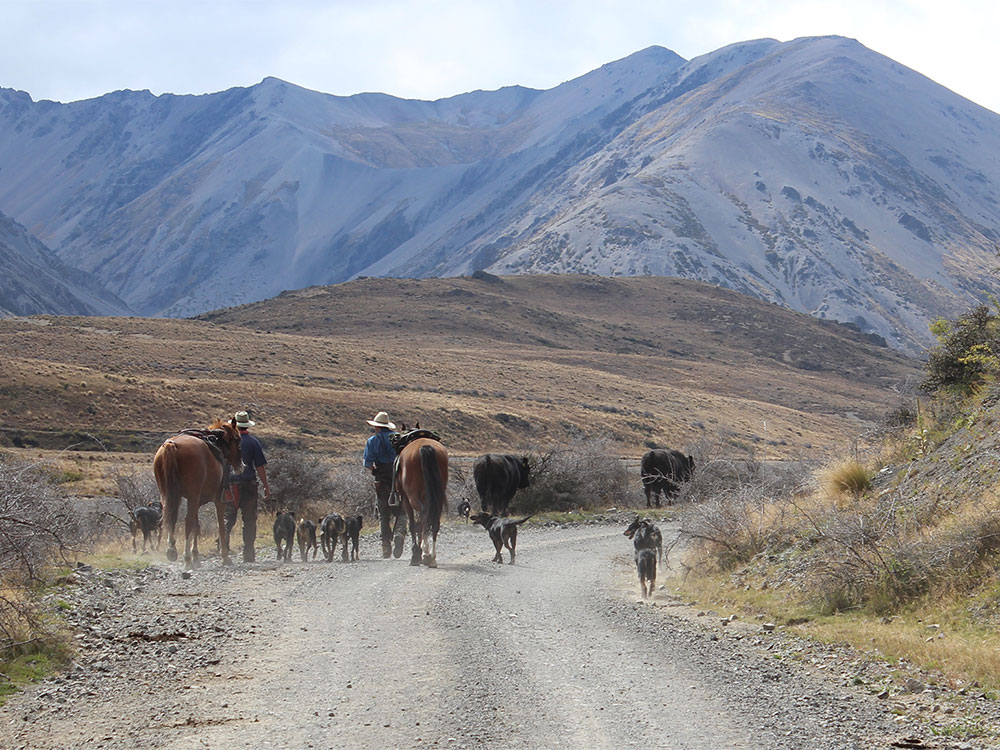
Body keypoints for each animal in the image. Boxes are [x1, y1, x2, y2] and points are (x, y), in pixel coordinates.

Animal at [154, 420, 244, 572]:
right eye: (237, 439)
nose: (242, 466)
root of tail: (172, 445)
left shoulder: (196, 500)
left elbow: (196, 526)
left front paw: (196, 557)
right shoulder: (217, 499)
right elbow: (220, 526)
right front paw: (225, 556)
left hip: (167, 495)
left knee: (170, 518)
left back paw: (172, 549)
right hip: (192, 496)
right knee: (187, 522)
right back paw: (186, 559)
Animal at [396, 438, 448, 568]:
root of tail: (425, 446)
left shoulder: (406, 500)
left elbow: (413, 525)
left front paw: (416, 555)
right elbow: (420, 524)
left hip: (412, 496)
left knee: (424, 514)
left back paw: (425, 553)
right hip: (437, 497)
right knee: (434, 521)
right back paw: (432, 558)